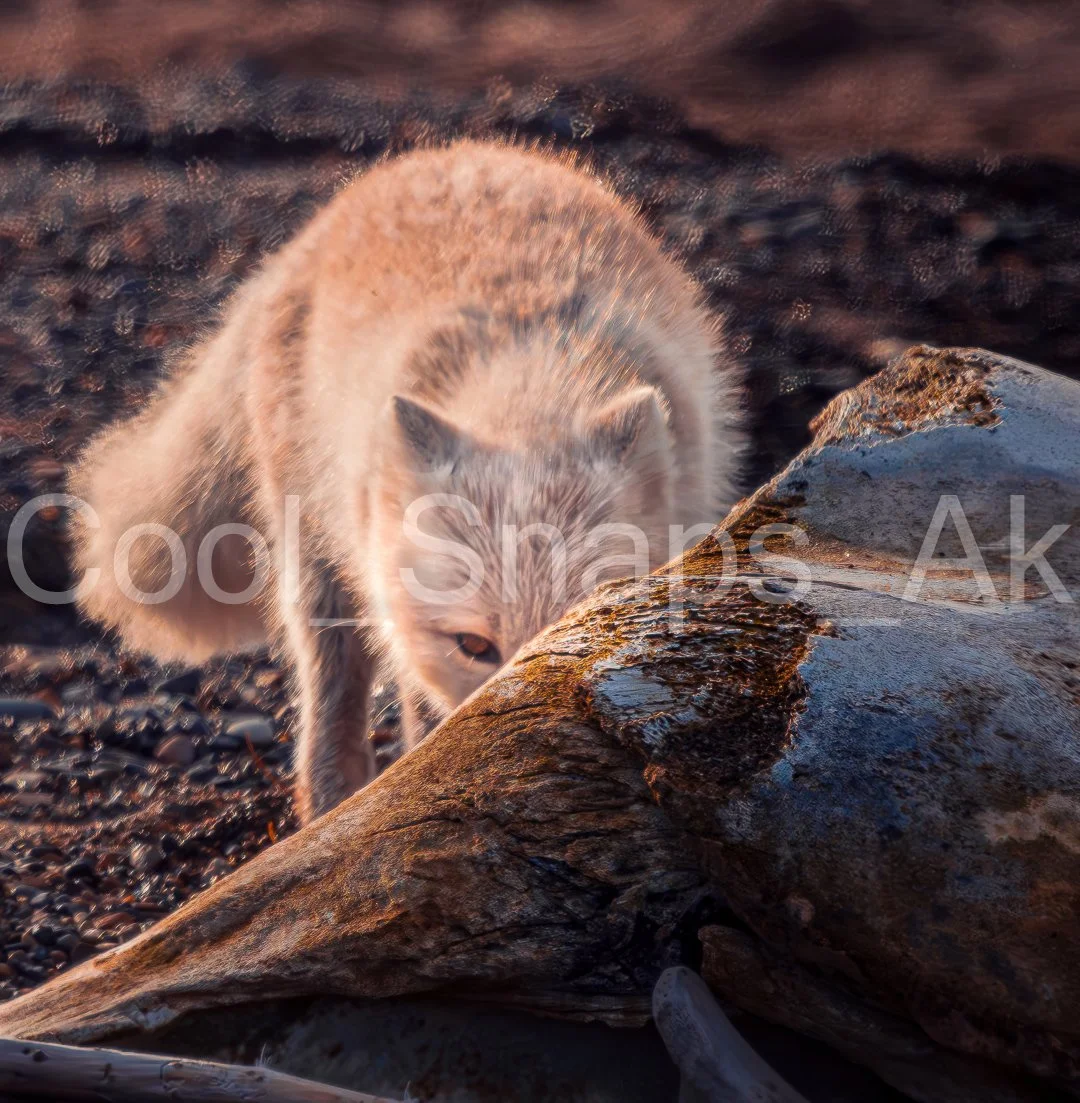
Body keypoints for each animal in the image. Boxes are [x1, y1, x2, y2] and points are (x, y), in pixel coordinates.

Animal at [68, 140, 744, 823]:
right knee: (331, 704)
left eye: (578, 634)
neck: (528, 382)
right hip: (324, 574)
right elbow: (418, 720)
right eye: (473, 646)